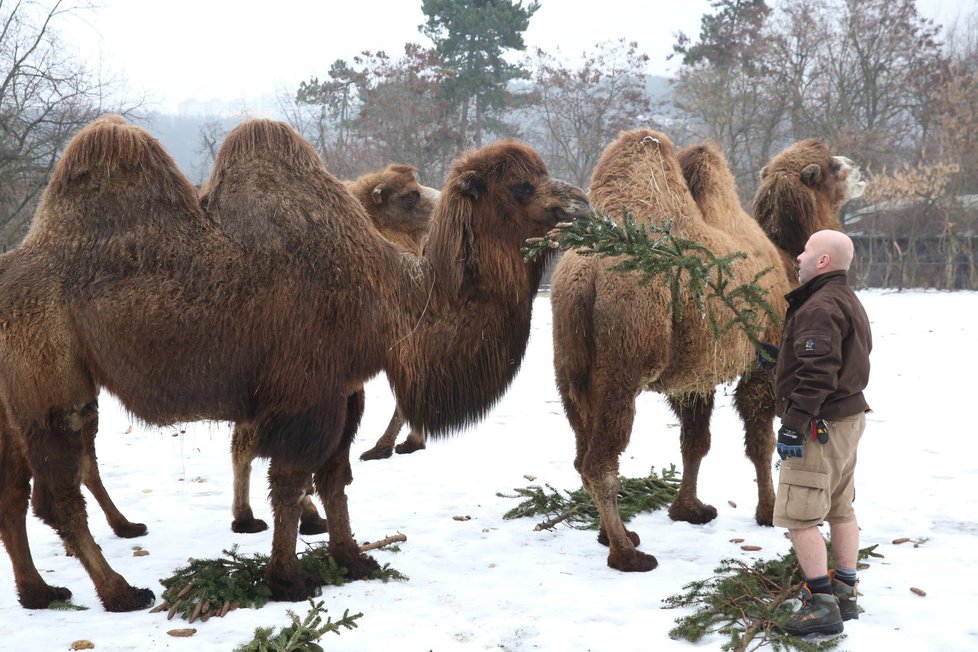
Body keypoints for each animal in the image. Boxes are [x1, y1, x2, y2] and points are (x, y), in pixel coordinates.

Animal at [548, 131, 860, 572]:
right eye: (832, 168)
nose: (853, 166)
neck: (785, 260)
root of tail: (583, 278)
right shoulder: (763, 362)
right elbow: (760, 441)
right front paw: (768, 511)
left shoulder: (695, 376)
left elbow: (694, 441)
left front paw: (689, 510)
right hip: (622, 366)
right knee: (600, 462)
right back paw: (627, 553)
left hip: (570, 371)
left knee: (581, 453)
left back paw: (614, 535)